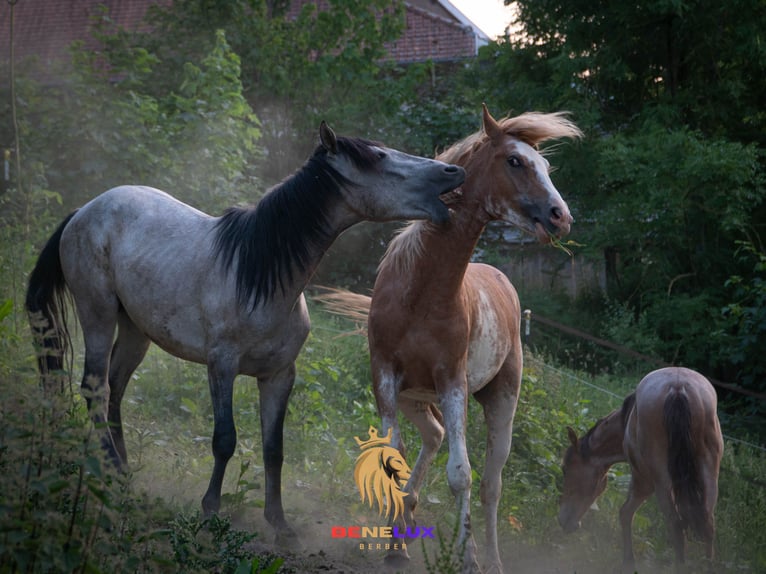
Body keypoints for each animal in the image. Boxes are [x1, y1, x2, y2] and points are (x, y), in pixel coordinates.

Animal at [25, 121, 468, 544]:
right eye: (378, 157)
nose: (453, 171)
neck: (262, 276)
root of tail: (84, 211)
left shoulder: (278, 375)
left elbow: (274, 449)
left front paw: (280, 524)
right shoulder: (221, 366)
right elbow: (225, 439)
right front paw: (210, 511)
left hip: (136, 330)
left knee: (114, 389)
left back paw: (122, 472)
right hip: (97, 313)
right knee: (94, 388)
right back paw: (108, 472)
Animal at [318, 106, 584, 572]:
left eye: (546, 166)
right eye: (515, 161)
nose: (560, 216)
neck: (422, 293)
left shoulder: (451, 381)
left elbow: (461, 474)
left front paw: (469, 558)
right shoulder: (386, 377)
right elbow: (393, 455)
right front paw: (394, 547)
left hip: (501, 400)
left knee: (491, 484)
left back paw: (492, 558)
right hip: (416, 399)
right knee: (434, 436)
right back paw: (405, 520)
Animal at [560, 368, 724, 572]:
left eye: (565, 469)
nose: (564, 521)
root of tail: (678, 388)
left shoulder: (642, 480)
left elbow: (625, 513)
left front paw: (628, 562)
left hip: (661, 483)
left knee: (676, 526)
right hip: (709, 476)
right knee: (708, 526)